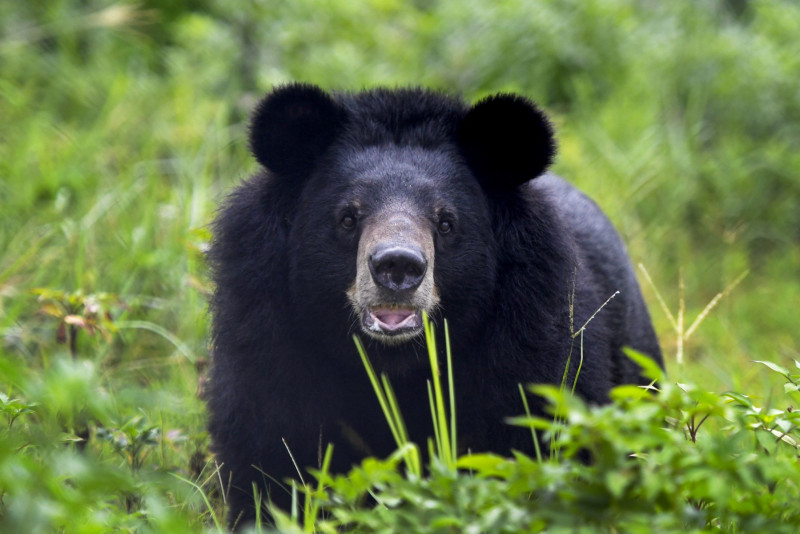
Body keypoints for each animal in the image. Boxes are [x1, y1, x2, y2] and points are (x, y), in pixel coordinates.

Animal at [207, 83, 663, 529]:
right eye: (348, 218)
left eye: (446, 222)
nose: (397, 266)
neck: (395, 362)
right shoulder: (269, 343)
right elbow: (274, 455)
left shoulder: (531, 346)